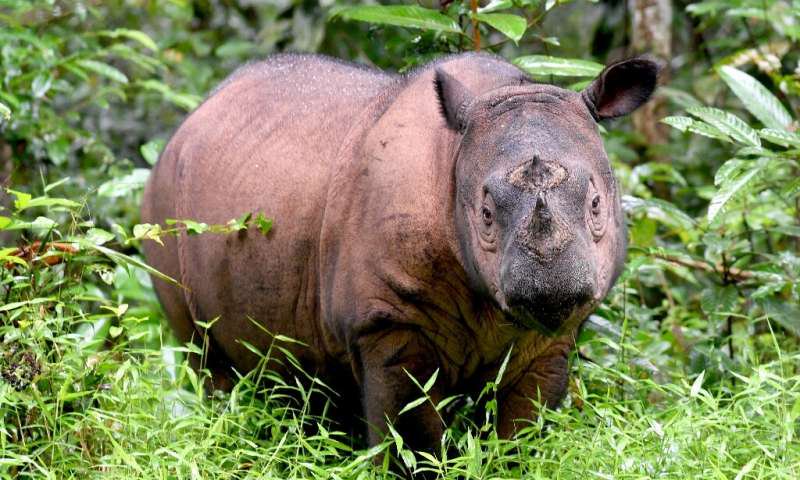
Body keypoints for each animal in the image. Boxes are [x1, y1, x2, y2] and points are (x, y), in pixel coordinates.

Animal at [141, 52, 657, 451]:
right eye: (486, 214)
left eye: (597, 205)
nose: (551, 289)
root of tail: (192, 117)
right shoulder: (387, 321)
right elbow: (411, 437)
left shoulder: (551, 339)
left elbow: (522, 434)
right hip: (161, 203)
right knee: (205, 356)